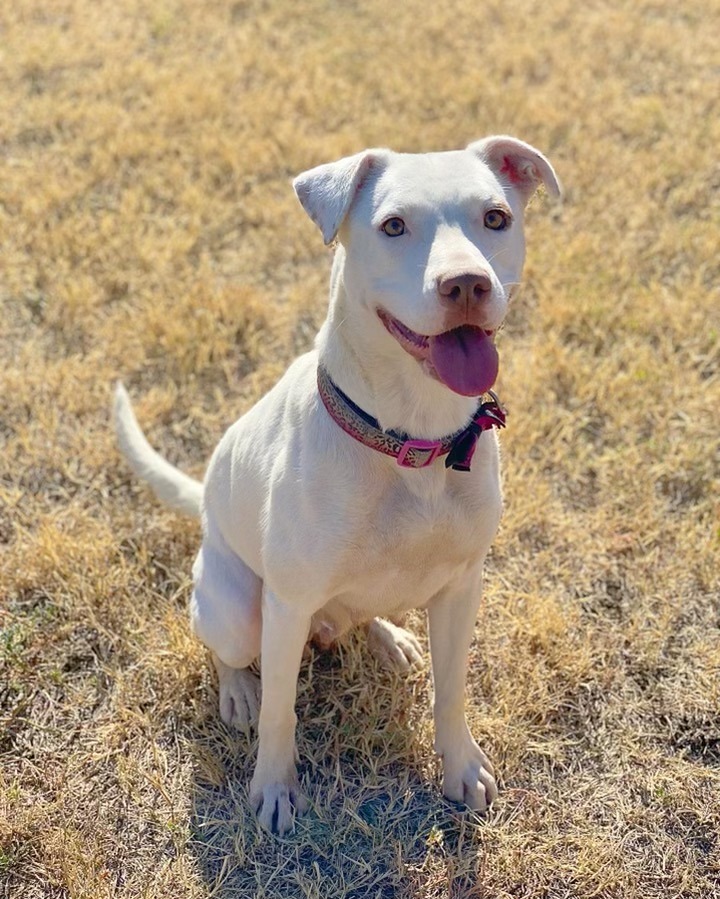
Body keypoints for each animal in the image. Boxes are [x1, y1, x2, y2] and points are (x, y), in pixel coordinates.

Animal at [115, 135, 560, 836]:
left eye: (495, 218)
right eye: (393, 226)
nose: (466, 283)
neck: (415, 442)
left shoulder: (463, 587)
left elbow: (452, 691)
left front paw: (461, 766)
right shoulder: (288, 606)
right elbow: (281, 712)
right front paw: (274, 788)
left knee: (360, 611)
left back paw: (389, 638)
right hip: (237, 608)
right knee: (229, 649)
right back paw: (238, 690)